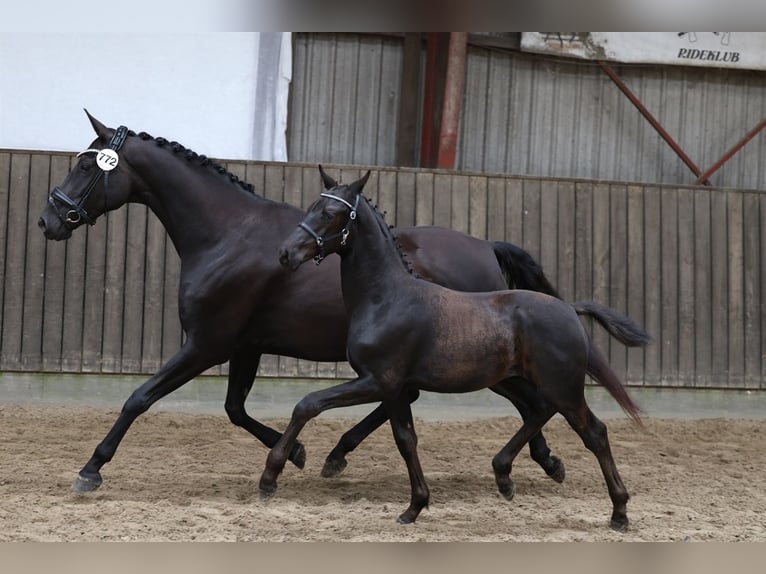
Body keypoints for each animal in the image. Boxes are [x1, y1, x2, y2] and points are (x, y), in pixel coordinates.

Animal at [37, 111, 584, 496]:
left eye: (86, 164)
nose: (50, 220)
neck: (227, 234)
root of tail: (487, 247)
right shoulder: (246, 346)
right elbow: (234, 409)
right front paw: (296, 451)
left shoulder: (207, 344)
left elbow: (139, 398)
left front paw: (91, 469)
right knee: (444, 399)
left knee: (524, 400)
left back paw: (537, 463)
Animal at [272, 173, 652, 532]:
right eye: (311, 207)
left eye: (331, 213)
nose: (286, 254)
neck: (387, 298)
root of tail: (570, 310)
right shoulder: (395, 389)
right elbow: (405, 440)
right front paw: (414, 507)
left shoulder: (377, 381)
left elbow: (308, 404)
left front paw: (270, 476)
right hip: (520, 381)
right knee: (539, 410)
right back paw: (505, 475)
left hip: (563, 387)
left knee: (593, 433)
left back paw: (619, 513)